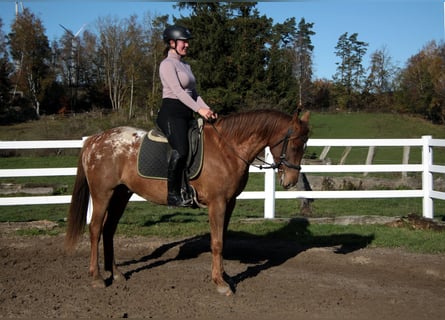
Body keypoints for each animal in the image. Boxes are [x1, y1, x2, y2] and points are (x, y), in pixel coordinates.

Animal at [65, 109, 308, 296]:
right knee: (96, 229)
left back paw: (115, 273)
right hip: (102, 194)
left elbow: (222, 239)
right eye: (295, 145)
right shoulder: (217, 203)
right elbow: (217, 243)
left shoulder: (229, 203)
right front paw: (220, 283)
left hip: (121, 194)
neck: (227, 148)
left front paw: (225, 276)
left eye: (305, 146)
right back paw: (97, 277)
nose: (291, 181)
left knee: (109, 230)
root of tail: (94, 140)